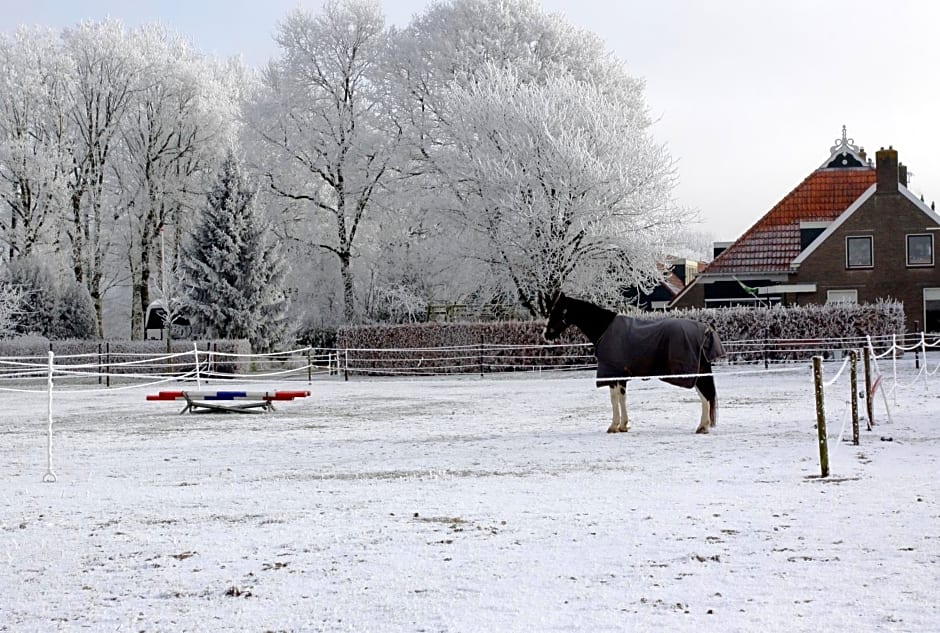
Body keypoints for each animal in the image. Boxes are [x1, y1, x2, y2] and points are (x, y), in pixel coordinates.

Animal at [544, 292, 728, 432]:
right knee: (706, 397)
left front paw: (614, 426)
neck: (605, 328)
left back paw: (702, 427)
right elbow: (621, 398)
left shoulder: (613, 373)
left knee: (705, 396)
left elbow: (614, 398)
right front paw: (622, 425)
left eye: (556, 311)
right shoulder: (620, 375)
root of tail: (706, 331)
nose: (546, 335)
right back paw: (703, 426)